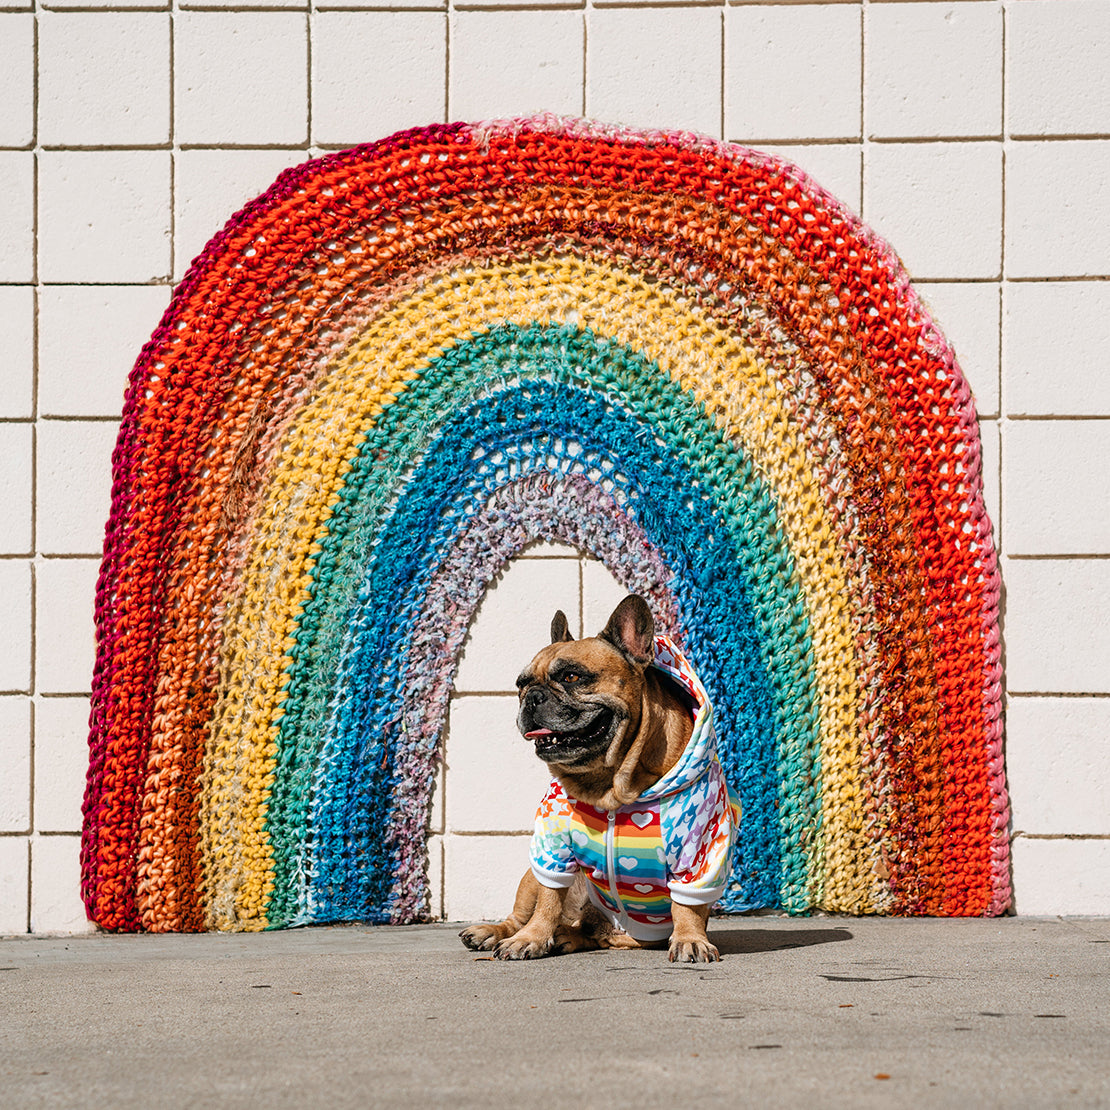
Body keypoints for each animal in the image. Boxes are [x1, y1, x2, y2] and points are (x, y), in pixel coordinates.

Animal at [459, 594, 737, 959]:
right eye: (520, 685)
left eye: (572, 677)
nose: (531, 697)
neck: (612, 784)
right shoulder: (553, 848)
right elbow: (548, 901)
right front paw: (531, 938)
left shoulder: (698, 851)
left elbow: (687, 906)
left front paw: (691, 938)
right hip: (530, 877)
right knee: (522, 914)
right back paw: (495, 932)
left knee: (591, 932)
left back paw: (567, 936)